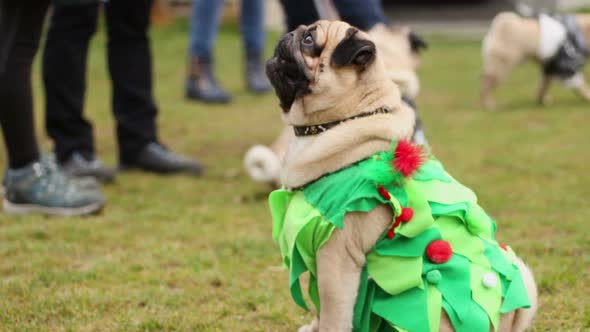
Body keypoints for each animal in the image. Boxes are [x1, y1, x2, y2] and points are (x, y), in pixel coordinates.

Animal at [270, 21, 540, 332]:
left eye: (309, 40)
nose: (288, 36)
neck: (349, 116)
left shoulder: (336, 255)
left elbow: (332, 310)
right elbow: (321, 308)